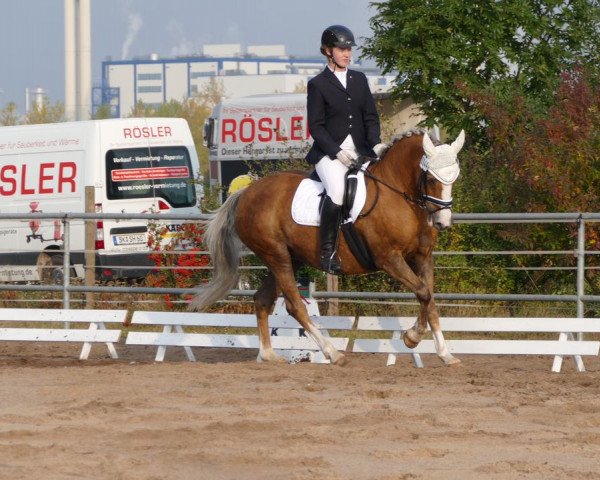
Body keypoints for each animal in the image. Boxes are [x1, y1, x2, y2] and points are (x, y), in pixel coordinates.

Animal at [190, 129, 466, 366]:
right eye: (430, 178)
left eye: (455, 178)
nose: (442, 222)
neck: (398, 194)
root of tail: (246, 193)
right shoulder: (389, 259)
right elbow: (423, 293)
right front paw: (412, 337)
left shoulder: (422, 257)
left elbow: (429, 300)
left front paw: (445, 354)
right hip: (276, 256)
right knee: (295, 305)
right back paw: (332, 353)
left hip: (289, 258)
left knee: (263, 300)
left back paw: (268, 355)